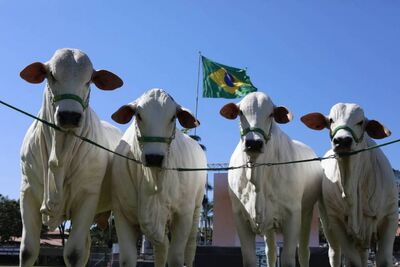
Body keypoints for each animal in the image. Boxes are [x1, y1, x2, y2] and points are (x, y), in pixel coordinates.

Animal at [19, 48, 122, 267]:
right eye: (51, 75)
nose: (69, 116)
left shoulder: (87, 198)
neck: (59, 154)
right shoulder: (27, 192)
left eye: (89, 80)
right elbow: (28, 250)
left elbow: (73, 253)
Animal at [111, 88, 208, 267]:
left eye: (173, 117)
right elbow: (129, 257)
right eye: (139, 115)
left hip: (197, 208)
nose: (154, 158)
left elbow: (176, 256)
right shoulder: (122, 214)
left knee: (190, 247)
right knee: (162, 248)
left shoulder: (183, 214)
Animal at [220, 92, 324, 267]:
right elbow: (250, 258)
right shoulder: (240, 216)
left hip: (307, 213)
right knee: (271, 252)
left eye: (271, 114)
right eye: (241, 112)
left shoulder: (292, 215)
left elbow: (288, 258)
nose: (253, 143)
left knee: (304, 252)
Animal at [302, 102, 398, 267]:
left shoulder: (390, 217)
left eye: (360, 122)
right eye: (331, 120)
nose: (342, 140)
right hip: (327, 224)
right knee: (335, 253)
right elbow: (353, 261)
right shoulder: (337, 222)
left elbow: (384, 259)